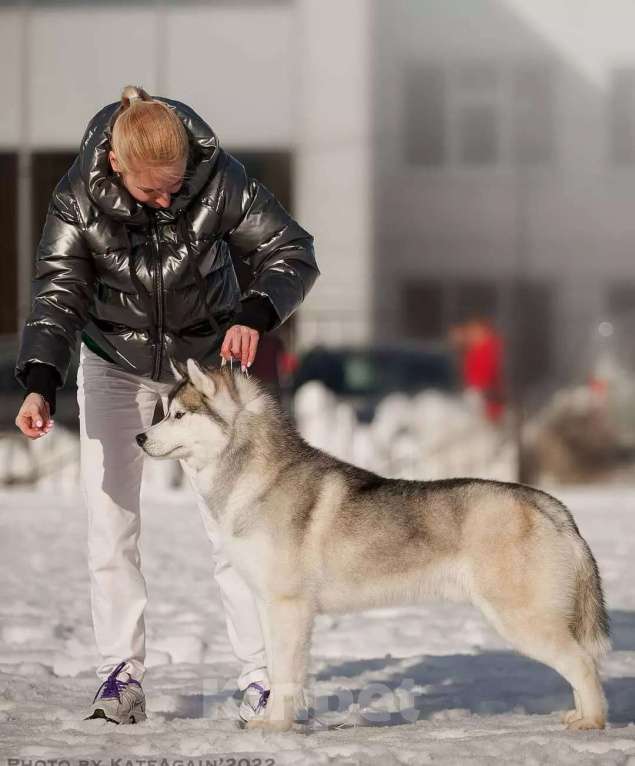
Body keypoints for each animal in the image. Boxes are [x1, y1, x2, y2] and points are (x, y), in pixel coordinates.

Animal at [138, 364, 612, 736]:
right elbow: (280, 670)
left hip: (522, 620)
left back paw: (593, 722)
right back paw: (579, 717)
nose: (140, 437)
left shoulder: (288, 607)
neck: (257, 480)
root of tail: (551, 505)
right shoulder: (271, 607)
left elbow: (286, 676)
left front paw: (276, 727)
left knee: (584, 663)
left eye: (179, 415)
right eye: (165, 412)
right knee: (581, 664)